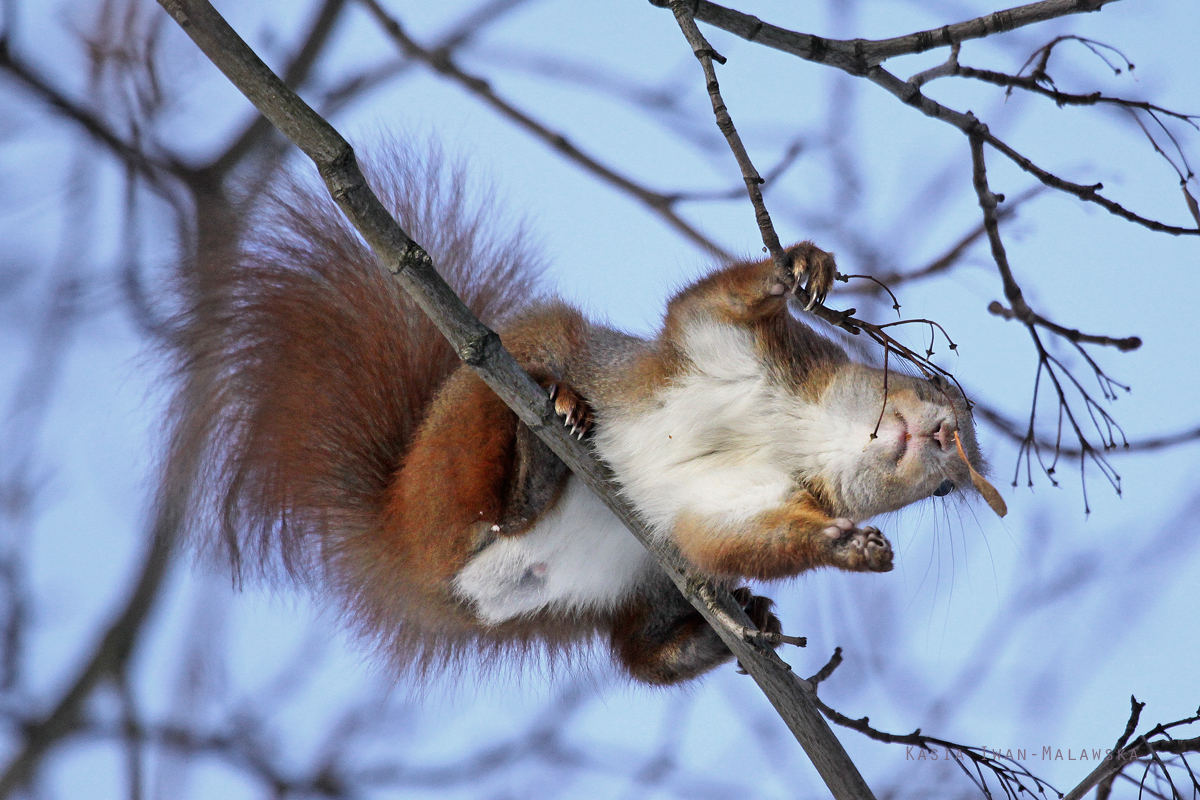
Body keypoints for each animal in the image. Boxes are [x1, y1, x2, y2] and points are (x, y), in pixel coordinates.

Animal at [159, 146, 984, 686]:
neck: (800, 432)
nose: (945, 443)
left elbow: (728, 540)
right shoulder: (725, 345)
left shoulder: (744, 505)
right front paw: (801, 266)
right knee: (485, 501)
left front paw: (850, 548)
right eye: (938, 392)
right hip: (486, 404)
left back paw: (725, 634)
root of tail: (395, 540)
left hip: (637, 582)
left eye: (949, 491)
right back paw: (538, 451)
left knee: (637, 655)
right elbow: (712, 303)